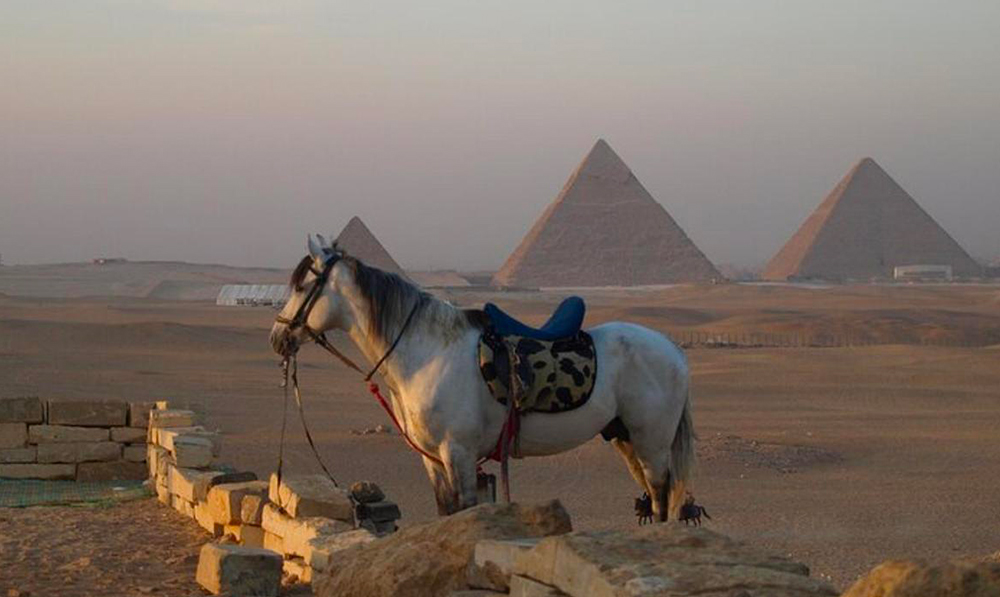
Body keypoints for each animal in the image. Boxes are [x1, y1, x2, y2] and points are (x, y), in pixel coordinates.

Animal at [269, 235, 695, 521]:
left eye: (302, 286)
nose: (277, 337)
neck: (426, 354)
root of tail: (674, 350)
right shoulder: (432, 459)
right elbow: (445, 514)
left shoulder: (458, 452)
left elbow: (464, 513)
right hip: (624, 437)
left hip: (652, 441)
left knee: (660, 496)